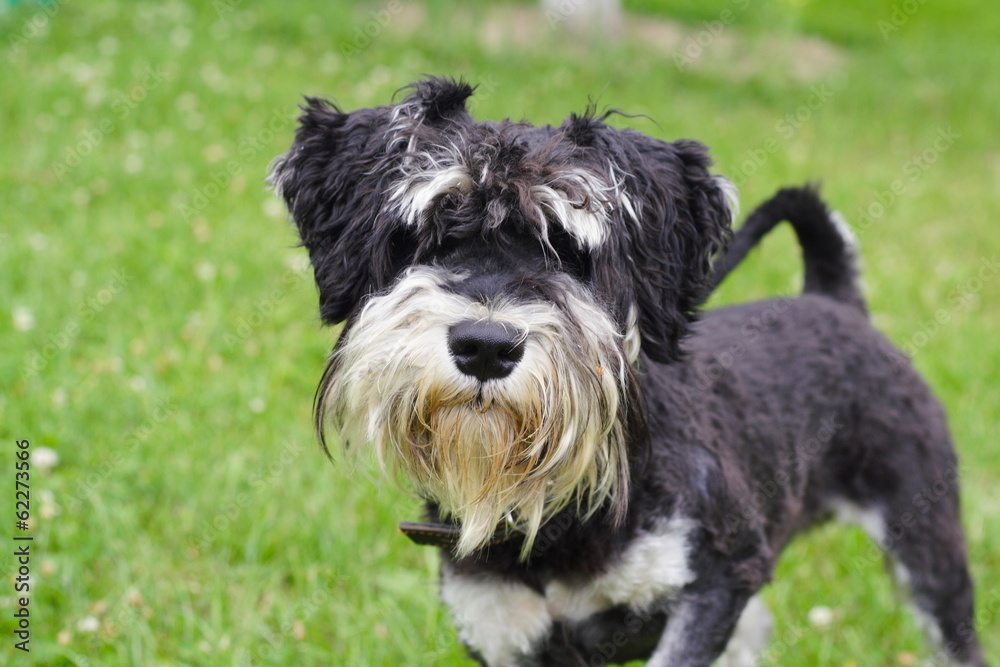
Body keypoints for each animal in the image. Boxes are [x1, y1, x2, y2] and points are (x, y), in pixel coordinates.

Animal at [270, 79, 988, 667]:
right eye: (427, 236)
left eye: (569, 249)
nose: (486, 346)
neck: (556, 511)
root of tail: (833, 300)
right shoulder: (504, 634)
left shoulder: (716, 580)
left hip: (928, 546)